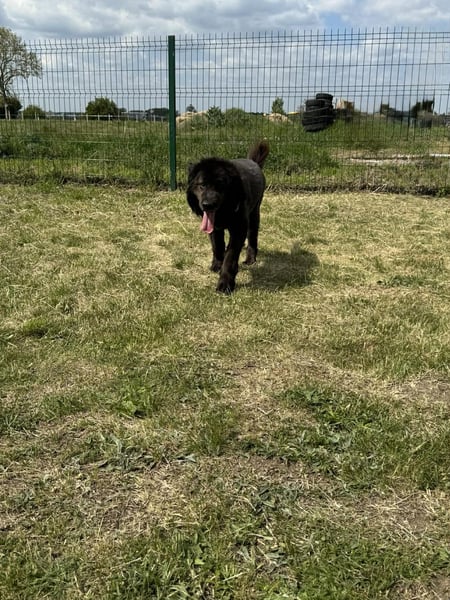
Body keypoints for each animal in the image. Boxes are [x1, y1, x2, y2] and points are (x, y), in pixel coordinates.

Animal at [187, 140, 269, 293]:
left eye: (221, 186)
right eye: (202, 185)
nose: (208, 205)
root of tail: (253, 161)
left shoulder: (239, 228)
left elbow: (230, 257)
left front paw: (225, 284)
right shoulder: (215, 228)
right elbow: (217, 246)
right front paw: (216, 265)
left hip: (254, 214)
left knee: (252, 237)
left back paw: (250, 259)